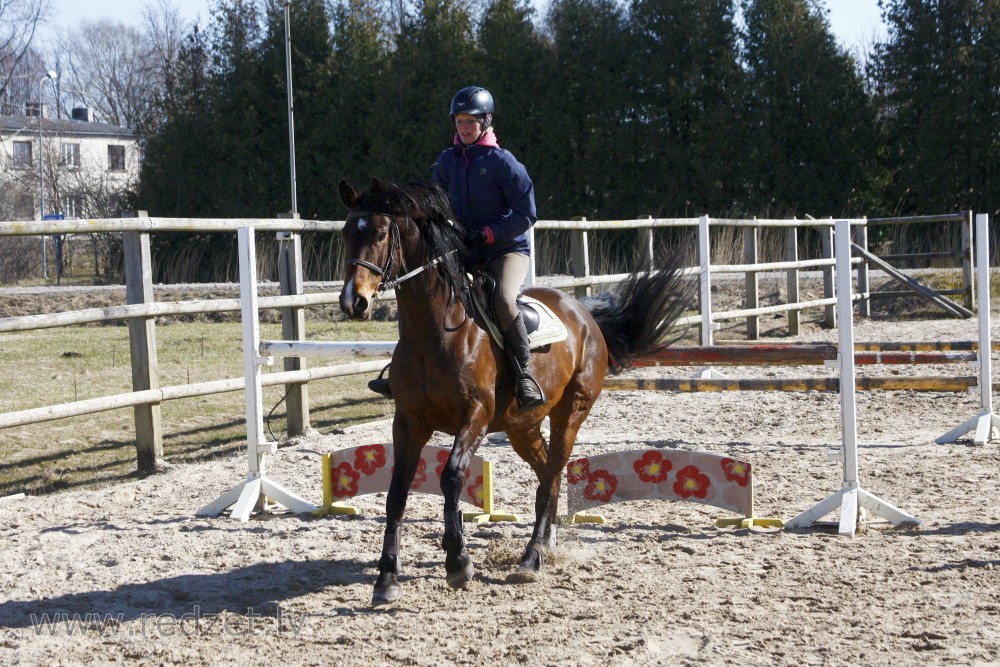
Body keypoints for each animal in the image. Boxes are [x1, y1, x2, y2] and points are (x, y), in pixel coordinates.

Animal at [340, 177, 692, 604]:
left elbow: (452, 477)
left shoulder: (474, 416)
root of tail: (583, 312)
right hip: (522, 427)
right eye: (345, 233)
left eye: (379, 233)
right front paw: (387, 578)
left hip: (570, 413)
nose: (353, 302)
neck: (435, 332)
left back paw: (531, 557)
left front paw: (458, 562)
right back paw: (546, 543)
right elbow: (396, 494)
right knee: (548, 476)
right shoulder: (408, 421)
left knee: (553, 472)